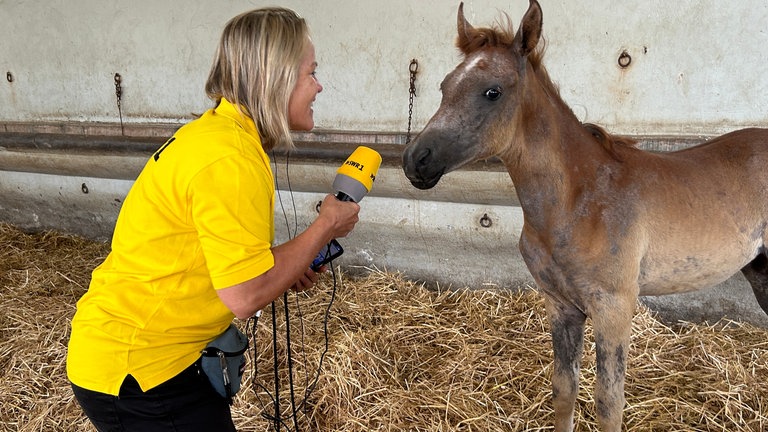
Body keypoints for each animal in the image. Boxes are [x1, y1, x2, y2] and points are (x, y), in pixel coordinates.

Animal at [402, 1, 768, 430]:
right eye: (444, 86)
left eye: (492, 92)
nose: (416, 160)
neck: (578, 200)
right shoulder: (561, 306)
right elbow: (564, 390)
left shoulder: (614, 307)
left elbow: (609, 402)